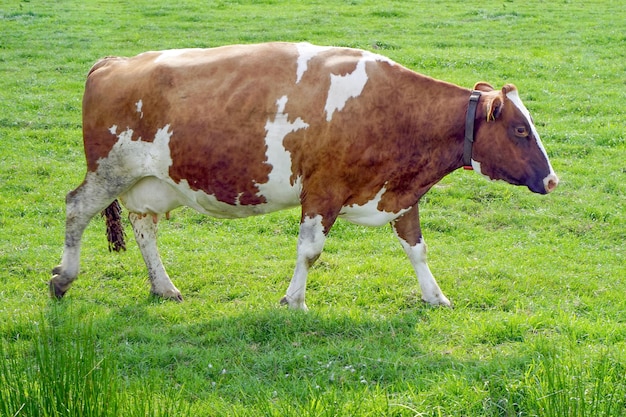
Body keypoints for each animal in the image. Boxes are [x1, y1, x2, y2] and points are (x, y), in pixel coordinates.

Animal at [48, 42, 556, 308]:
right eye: (519, 129)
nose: (552, 180)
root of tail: (113, 63)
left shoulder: (399, 194)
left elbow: (417, 249)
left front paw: (436, 297)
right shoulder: (323, 190)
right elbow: (310, 251)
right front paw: (294, 301)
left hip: (150, 181)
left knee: (144, 226)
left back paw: (164, 286)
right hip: (110, 170)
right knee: (76, 208)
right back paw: (63, 277)